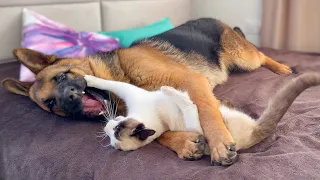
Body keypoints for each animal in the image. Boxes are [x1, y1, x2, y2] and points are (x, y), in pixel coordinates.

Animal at [1, 18, 290, 166]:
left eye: (61, 76)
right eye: (52, 104)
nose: (70, 100)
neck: (121, 72)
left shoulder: (191, 81)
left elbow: (207, 112)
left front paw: (218, 143)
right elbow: (159, 132)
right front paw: (183, 142)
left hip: (244, 58)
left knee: (261, 56)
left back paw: (283, 68)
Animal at [84, 72, 320, 153]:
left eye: (116, 130)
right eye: (112, 135)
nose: (106, 127)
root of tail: (255, 134)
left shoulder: (131, 92)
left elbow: (109, 83)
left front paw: (86, 79)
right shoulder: (193, 128)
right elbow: (190, 107)